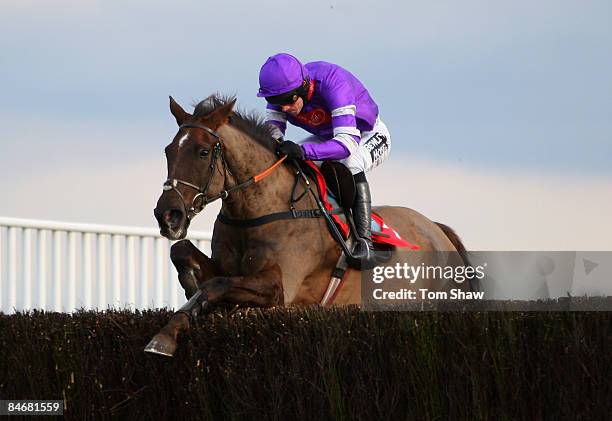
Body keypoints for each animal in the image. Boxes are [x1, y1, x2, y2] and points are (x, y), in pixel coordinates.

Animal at [145, 94, 474, 354]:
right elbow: (184, 253)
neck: (258, 209)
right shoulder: (226, 267)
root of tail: (438, 230)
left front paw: (170, 330)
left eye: (202, 152)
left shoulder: (281, 289)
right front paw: (184, 300)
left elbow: (216, 284)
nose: (168, 215)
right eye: (168, 151)